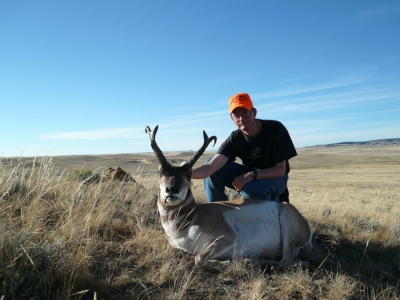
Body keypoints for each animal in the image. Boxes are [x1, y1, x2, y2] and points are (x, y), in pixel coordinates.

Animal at [144, 125, 312, 268]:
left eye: (189, 175)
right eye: (160, 173)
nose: (171, 190)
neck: (193, 216)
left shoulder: (227, 237)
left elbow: (199, 258)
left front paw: (228, 262)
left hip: (286, 219)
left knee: (290, 261)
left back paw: (249, 261)